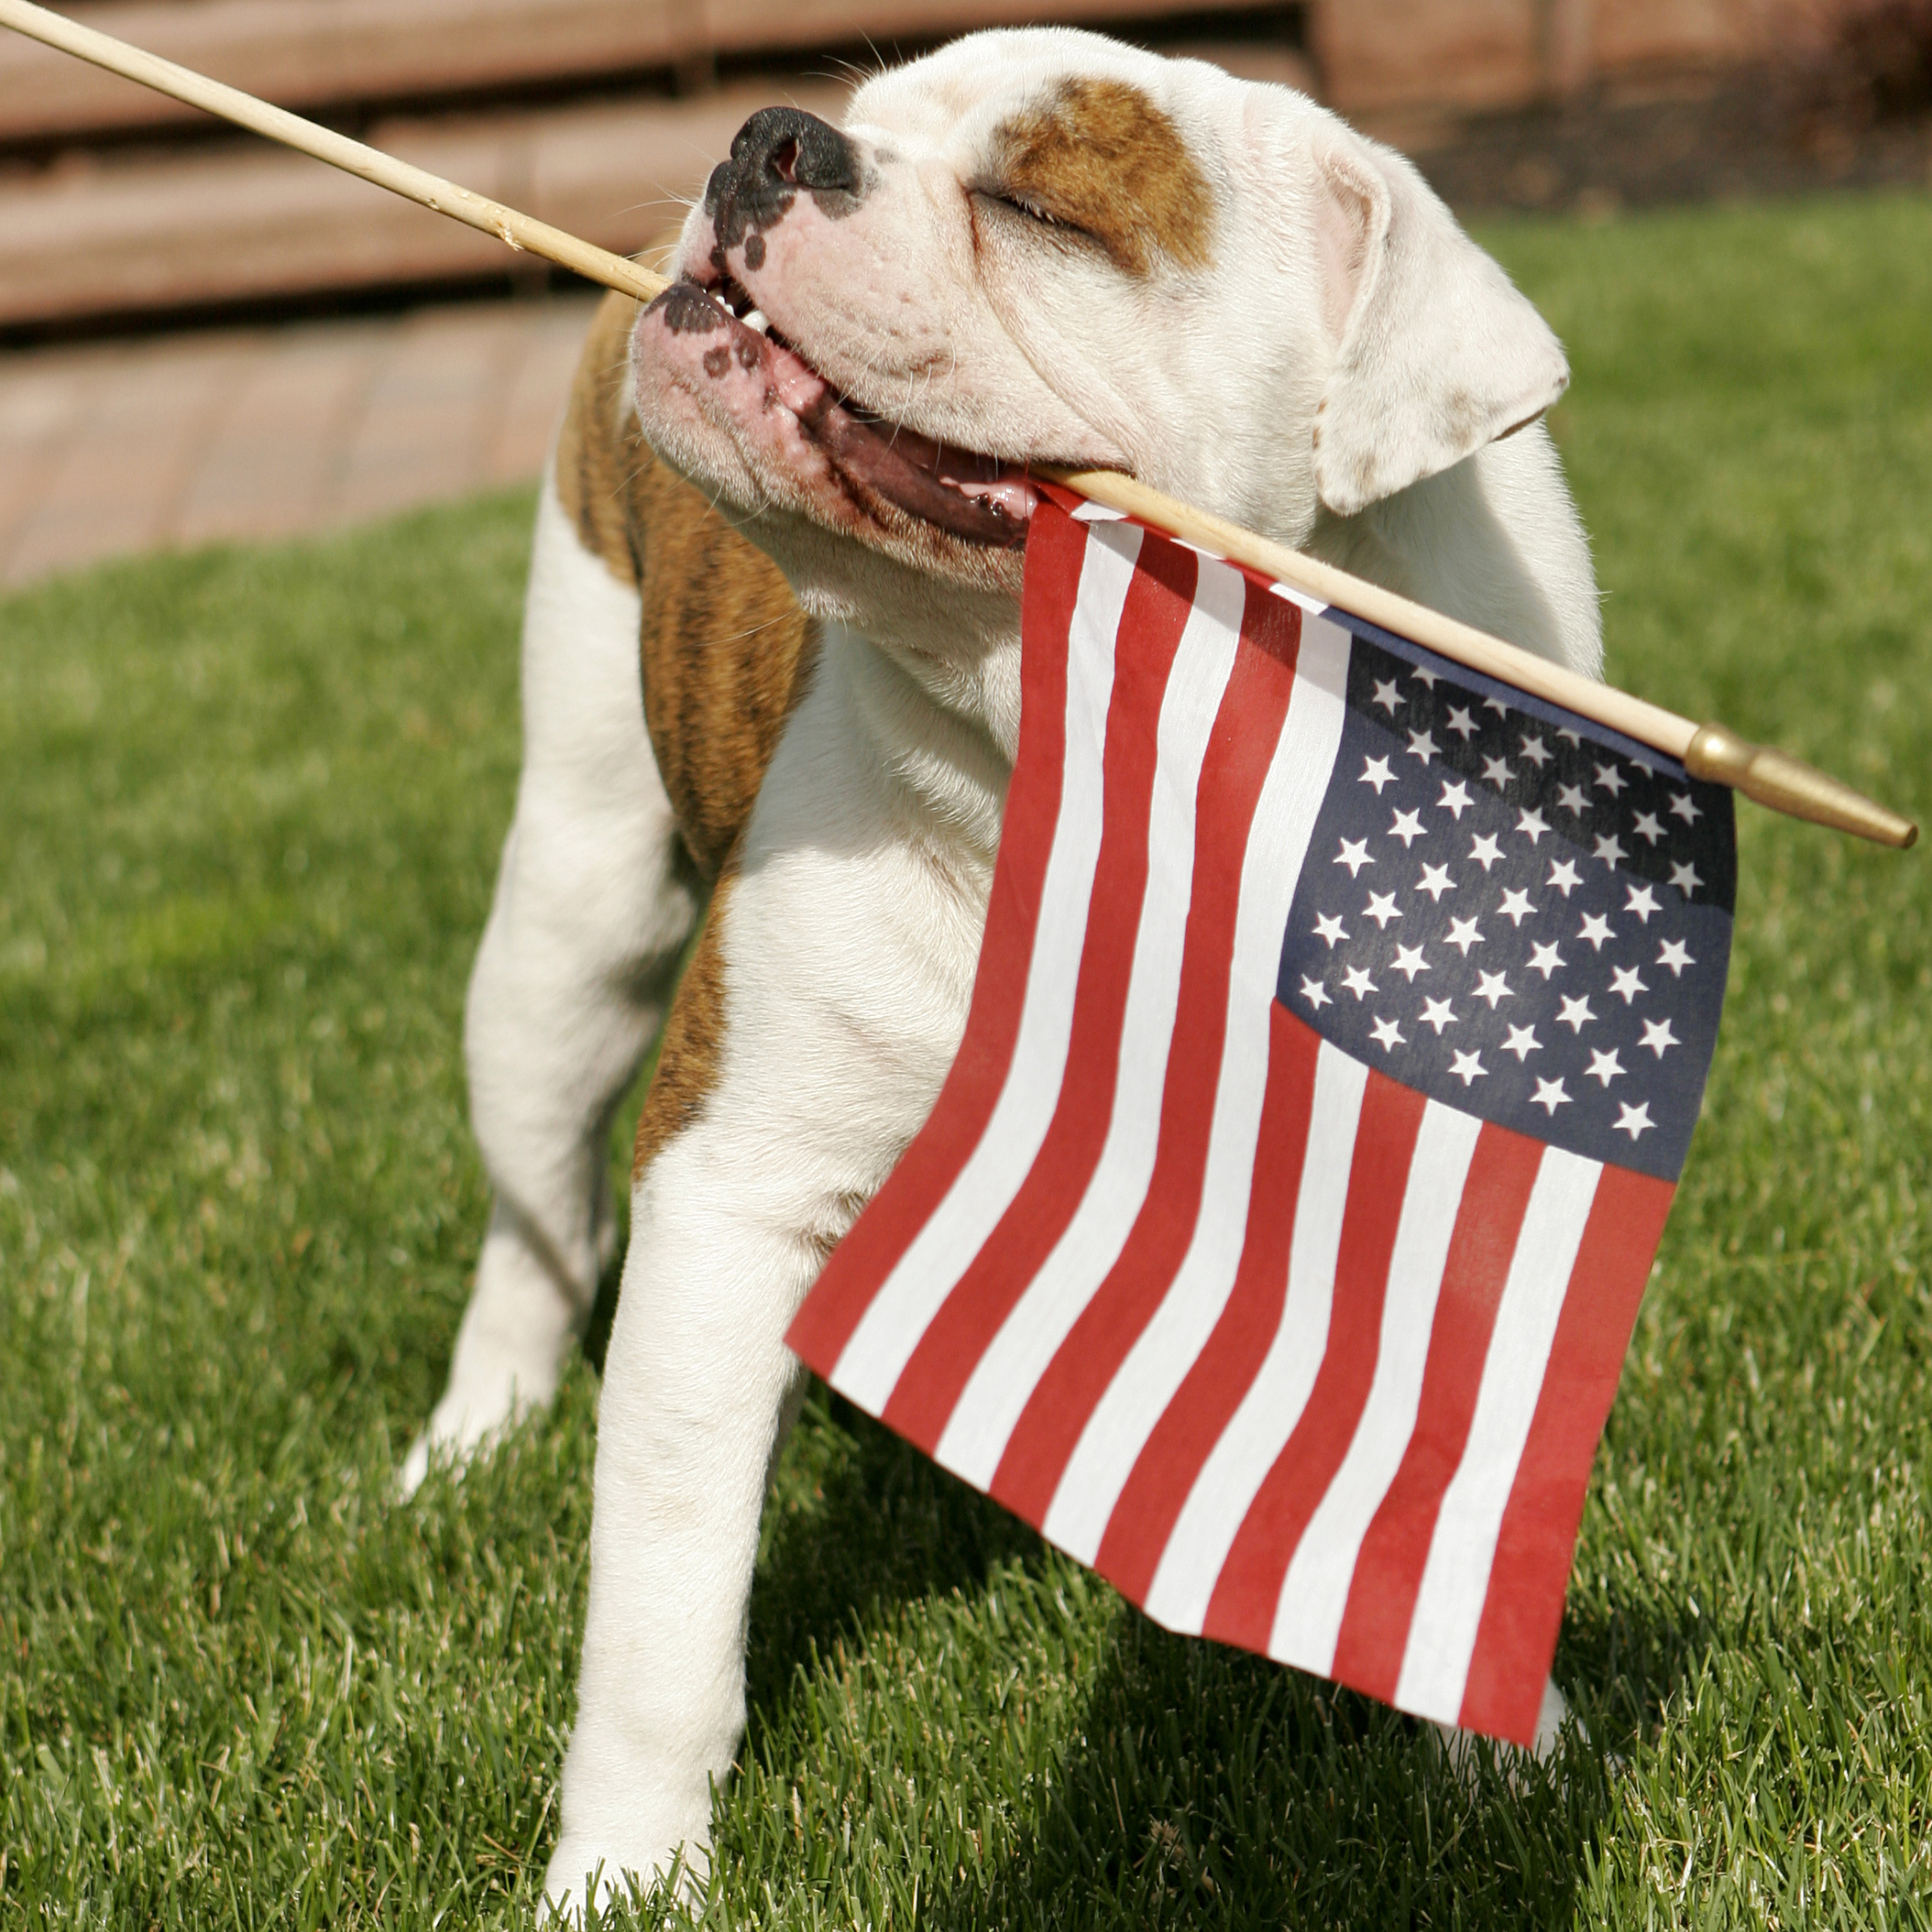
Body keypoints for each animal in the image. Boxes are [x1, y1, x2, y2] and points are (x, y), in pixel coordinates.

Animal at [392, 22, 1599, 1909]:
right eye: (862, 114)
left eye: (1041, 207)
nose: (772, 137)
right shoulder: (731, 1189)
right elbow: (663, 1615)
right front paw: (624, 1877)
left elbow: (1464, 1493)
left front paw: (1496, 1744)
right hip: (565, 930)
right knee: (538, 1221)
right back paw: (474, 1436)